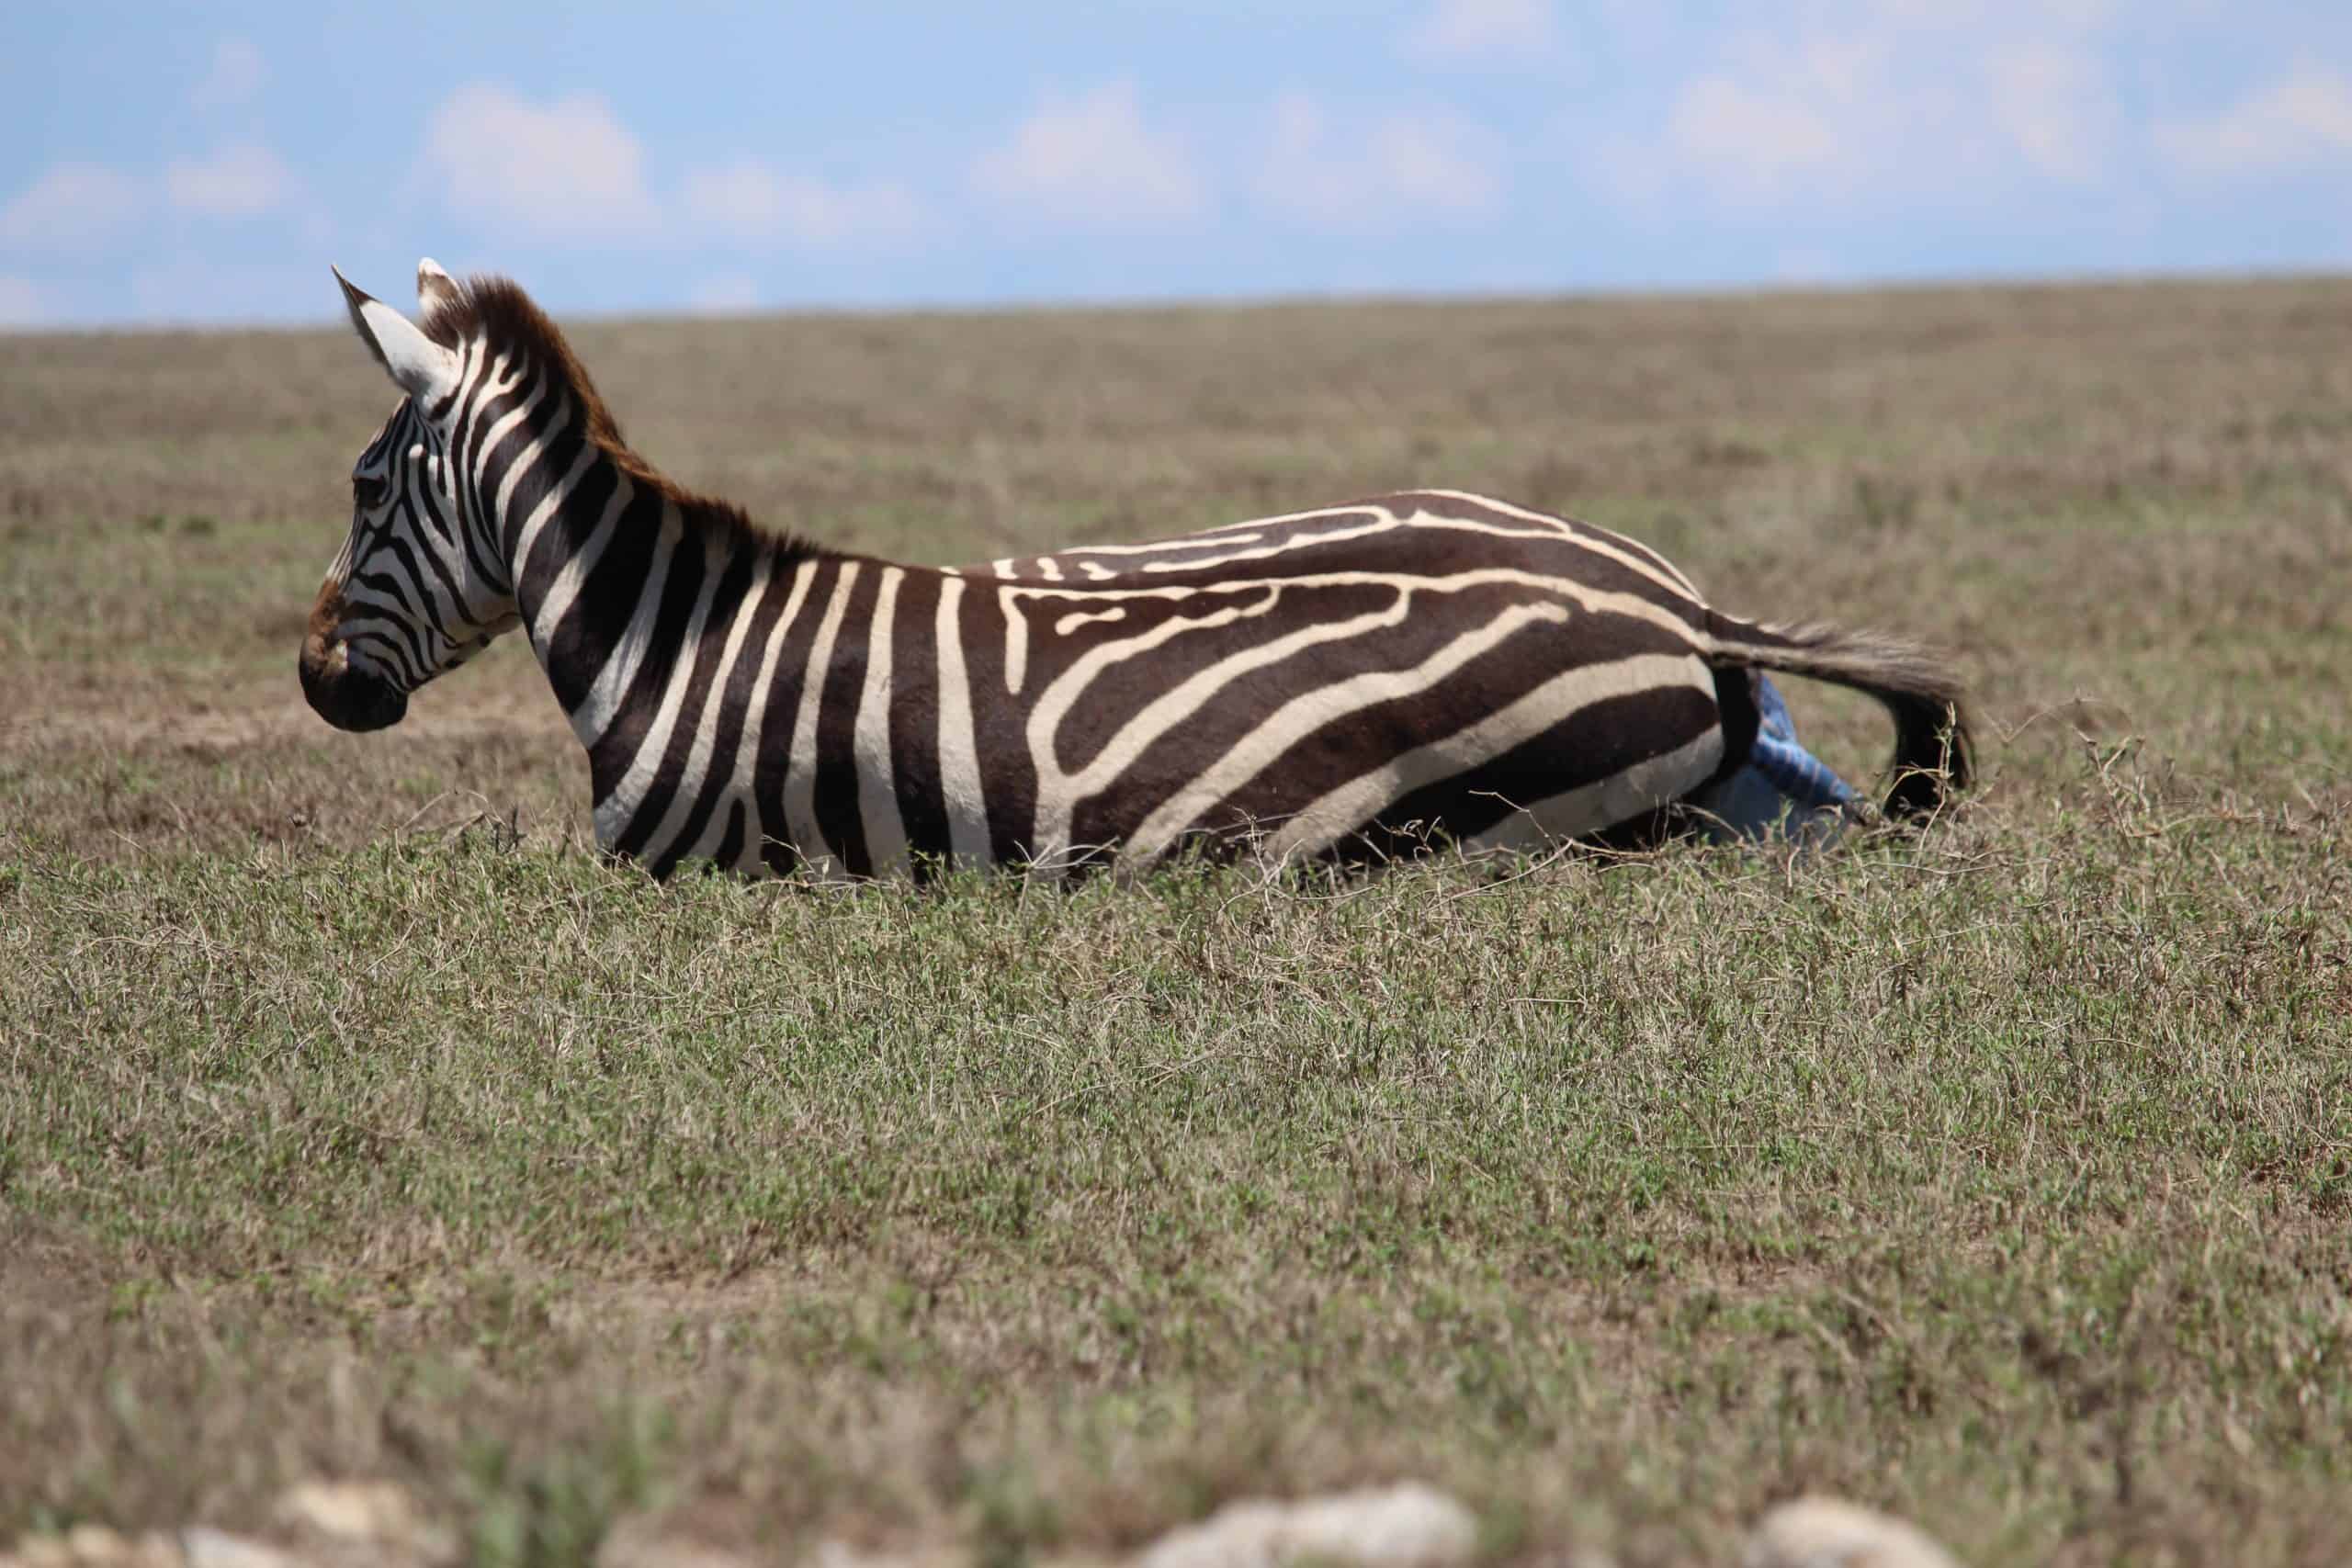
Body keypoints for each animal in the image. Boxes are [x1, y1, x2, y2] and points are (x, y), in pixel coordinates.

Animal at [301, 261, 1969, 881]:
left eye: (366, 487)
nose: (319, 683)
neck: (678, 640)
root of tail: (1676, 606)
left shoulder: (693, 871)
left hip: (1510, 830)